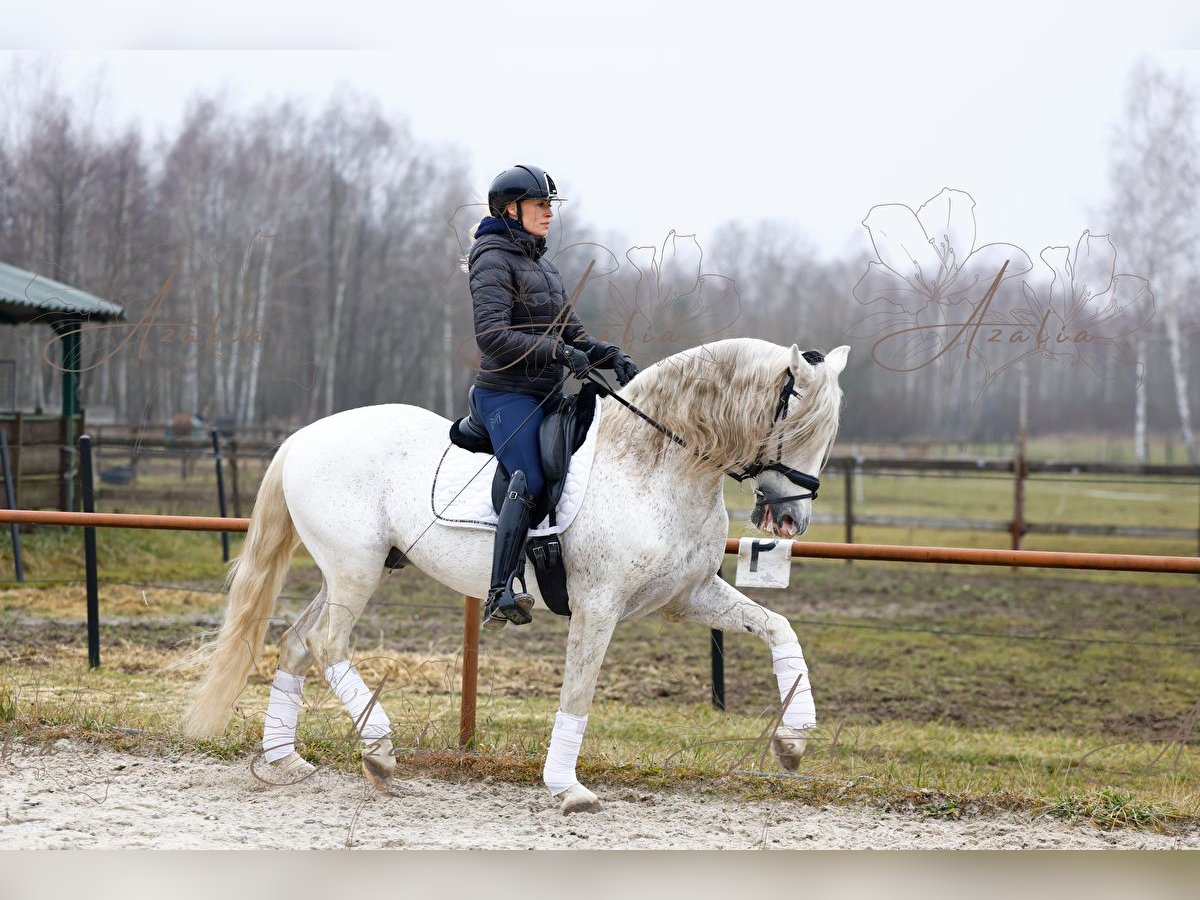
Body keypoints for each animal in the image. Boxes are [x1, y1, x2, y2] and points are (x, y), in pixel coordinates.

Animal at [182, 338, 849, 816]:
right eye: (797, 425)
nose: (792, 519)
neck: (653, 463)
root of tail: (304, 436)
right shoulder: (599, 605)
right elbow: (578, 692)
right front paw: (566, 787)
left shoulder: (686, 596)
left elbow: (779, 626)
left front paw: (794, 741)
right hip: (355, 569)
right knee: (326, 643)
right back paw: (380, 752)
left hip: (351, 568)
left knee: (297, 642)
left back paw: (286, 761)